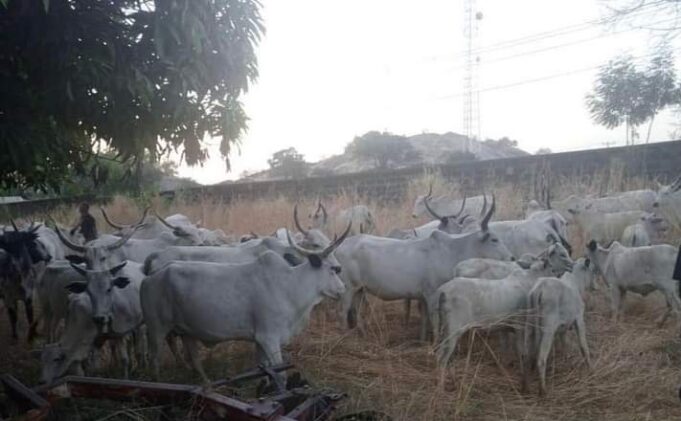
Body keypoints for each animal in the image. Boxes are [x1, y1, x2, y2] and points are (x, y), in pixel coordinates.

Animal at [141, 226, 351, 384]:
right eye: (332, 270)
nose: (342, 290)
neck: (290, 285)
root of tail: (149, 278)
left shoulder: (259, 341)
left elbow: (265, 371)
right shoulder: (269, 338)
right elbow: (281, 375)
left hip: (187, 332)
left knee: (193, 356)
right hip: (156, 329)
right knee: (153, 358)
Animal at [335, 196, 514, 341]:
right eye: (494, 239)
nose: (511, 258)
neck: (451, 251)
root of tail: (340, 247)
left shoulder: (423, 296)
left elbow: (424, 318)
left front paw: (422, 339)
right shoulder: (432, 293)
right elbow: (433, 318)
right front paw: (434, 342)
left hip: (360, 289)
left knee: (357, 310)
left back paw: (363, 333)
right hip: (348, 288)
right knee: (343, 311)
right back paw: (344, 336)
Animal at [523, 257, 596, 396]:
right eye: (592, 269)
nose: (595, 286)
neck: (576, 282)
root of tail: (539, 289)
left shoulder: (562, 328)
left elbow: (564, 347)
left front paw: (567, 364)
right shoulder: (579, 319)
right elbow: (583, 346)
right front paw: (590, 369)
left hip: (530, 327)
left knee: (526, 355)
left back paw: (527, 386)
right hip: (548, 330)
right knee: (541, 359)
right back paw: (543, 391)